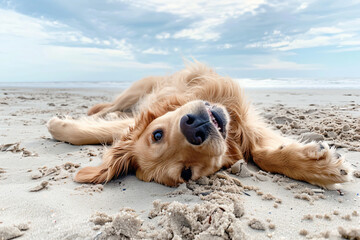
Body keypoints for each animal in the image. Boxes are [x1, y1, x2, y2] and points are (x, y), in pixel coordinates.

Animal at [47, 62, 352, 189]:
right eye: (186, 173)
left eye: (157, 134)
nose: (195, 129)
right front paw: (320, 166)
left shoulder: (244, 115)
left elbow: (263, 154)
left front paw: (320, 168)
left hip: (135, 90)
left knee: (111, 106)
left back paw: (100, 112)